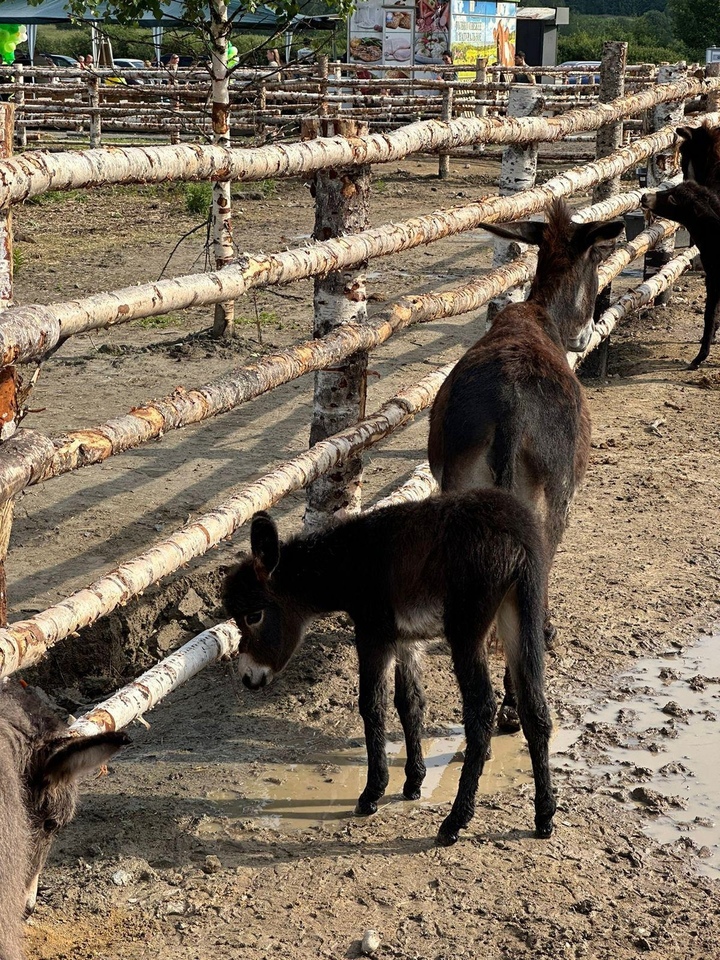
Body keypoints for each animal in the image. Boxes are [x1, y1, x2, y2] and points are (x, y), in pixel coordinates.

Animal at [225, 492, 556, 844]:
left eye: (253, 616)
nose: (247, 678)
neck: (348, 562)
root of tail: (518, 536)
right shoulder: (405, 640)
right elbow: (409, 703)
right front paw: (413, 782)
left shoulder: (373, 634)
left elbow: (372, 704)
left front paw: (372, 792)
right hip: (519, 614)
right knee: (534, 708)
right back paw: (544, 816)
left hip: (466, 629)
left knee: (481, 710)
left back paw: (455, 821)